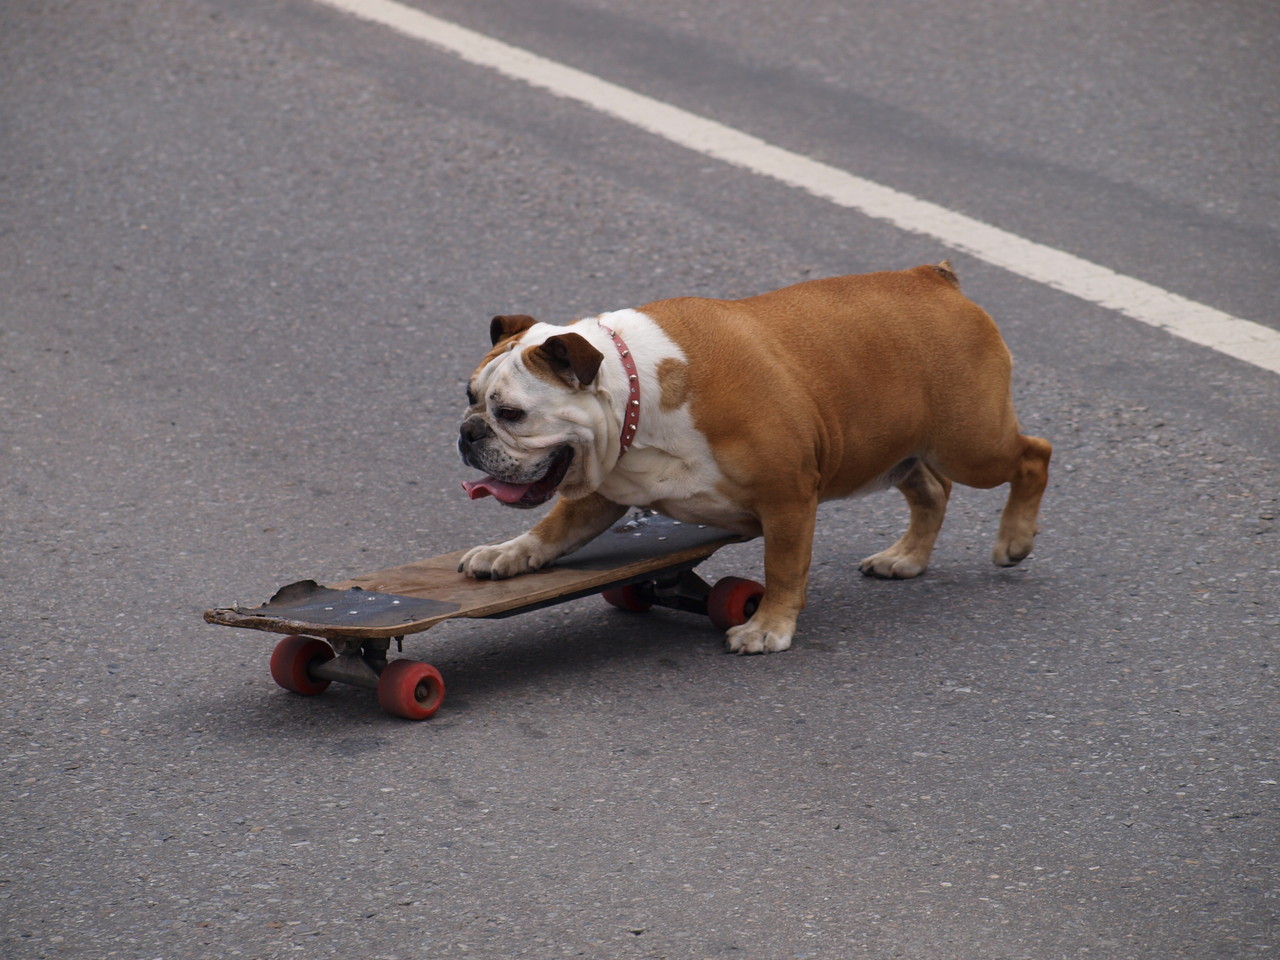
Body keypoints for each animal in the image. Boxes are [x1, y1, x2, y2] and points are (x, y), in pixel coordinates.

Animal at [460, 263, 1049, 655]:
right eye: (469, 396)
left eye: (511, 413)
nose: (467, 433)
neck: (637, 395)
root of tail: (935, 277)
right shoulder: (602, 493)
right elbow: (550, 530)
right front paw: (506, 553)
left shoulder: (787, 497)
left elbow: (783, 566)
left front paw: (769, 626)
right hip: (894, 450)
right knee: (931, 489)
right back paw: (905, 557)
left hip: (972, 444)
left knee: (1033, 456)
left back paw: (1014, 539)